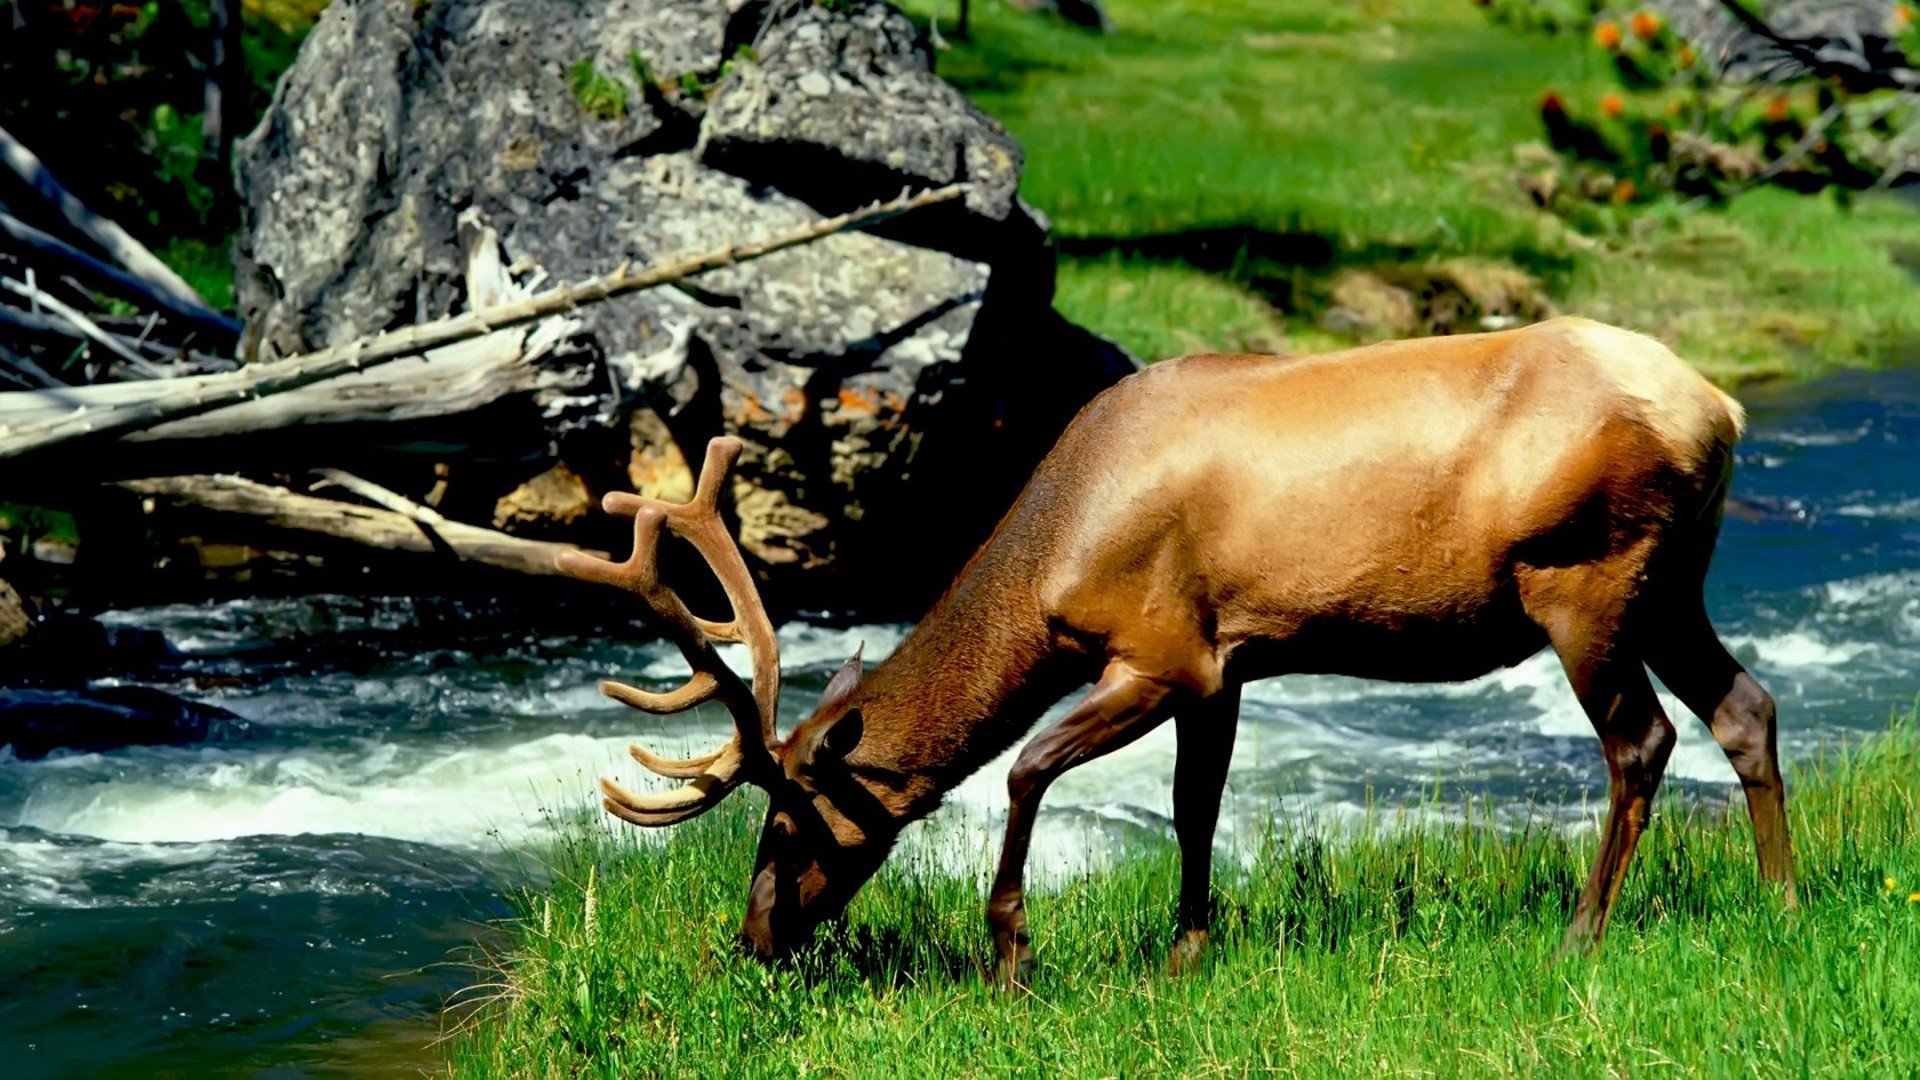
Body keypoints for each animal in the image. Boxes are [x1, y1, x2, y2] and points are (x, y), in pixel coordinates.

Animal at [555, 316, 1795, 988]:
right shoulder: (1229, 661)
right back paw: (1784, 897)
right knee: (1747, 707)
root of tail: (1719, 408)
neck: (1054, 559)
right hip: (1670, 584)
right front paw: (1187, 951)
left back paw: (1584, 932)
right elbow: (1198, 807)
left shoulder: (1159, 652)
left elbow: (1024, 769)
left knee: (1643, 741)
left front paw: (1011, 955)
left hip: (1588, 578)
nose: (752, 938)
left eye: (787, 824)